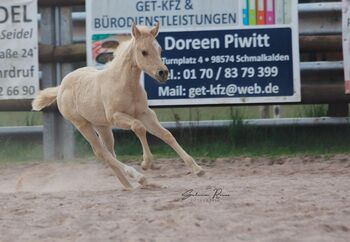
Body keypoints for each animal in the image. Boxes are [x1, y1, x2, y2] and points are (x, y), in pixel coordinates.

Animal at [32, 23, 205, 190]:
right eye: (144, 52)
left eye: (159, 49)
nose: (163, 73)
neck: (125, 84)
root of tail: (61, 87)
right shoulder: (116, 117)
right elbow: (138, 127)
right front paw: (146, 163)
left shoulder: (145, 113)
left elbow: (166, 135)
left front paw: (197, 169)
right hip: (82, 125)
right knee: (101, 152)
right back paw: (139, 177)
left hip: (102, 126)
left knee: (109, 152)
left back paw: (132, 185)